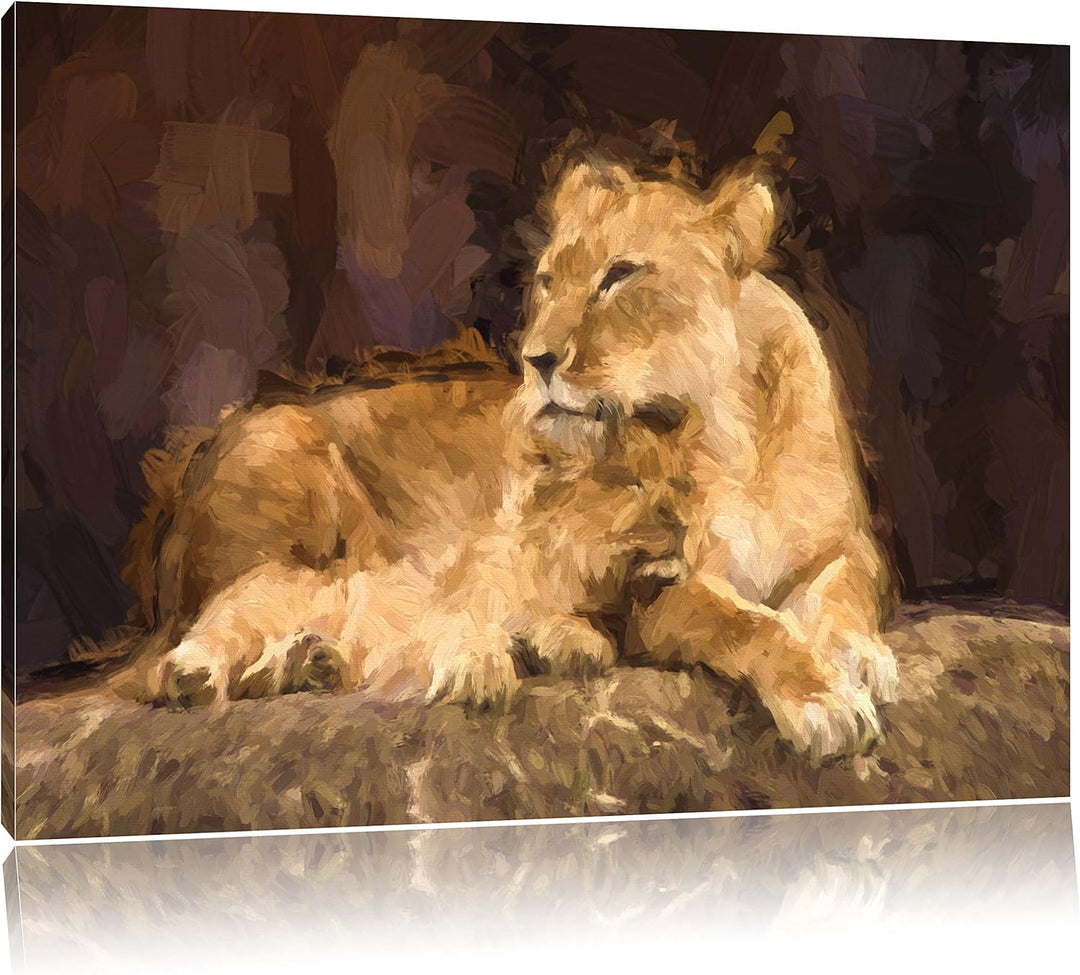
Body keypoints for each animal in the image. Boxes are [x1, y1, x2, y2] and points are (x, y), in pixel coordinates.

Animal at [118, 146, 898, 763]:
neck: (728, 432)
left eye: (620, 274)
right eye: (549, 281)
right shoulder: (654, 595)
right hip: (295, 459)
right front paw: (825, 701)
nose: (536, 359)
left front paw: (863, 657)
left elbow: (843, 595)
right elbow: (746, 622)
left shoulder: (842, 543)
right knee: (245, 609)